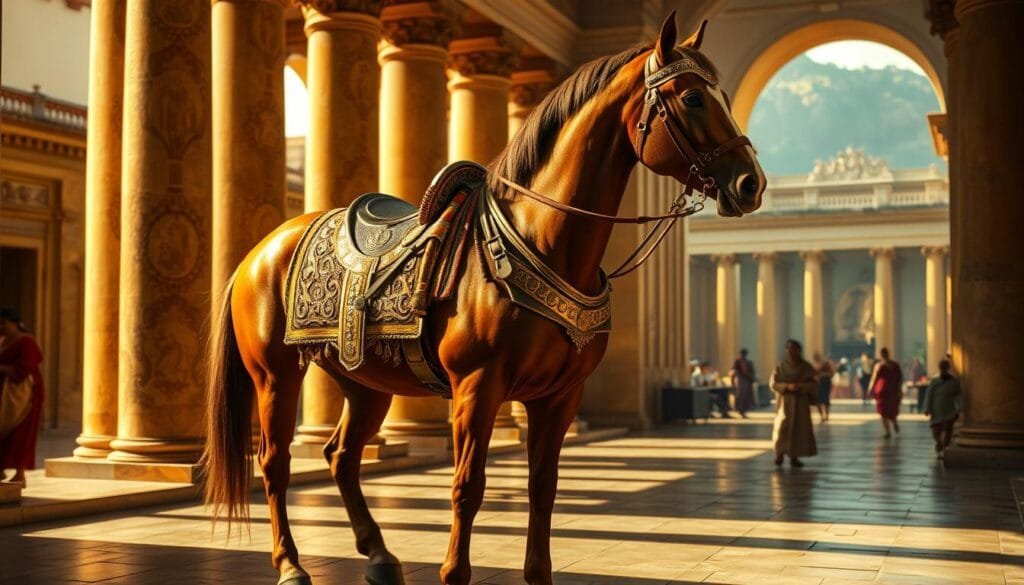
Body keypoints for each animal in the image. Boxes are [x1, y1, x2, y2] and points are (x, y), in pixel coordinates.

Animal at [203, 12, 765, 585]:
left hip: (366, 381)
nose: (751, 183)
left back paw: (379, 554)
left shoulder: (560, 395)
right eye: (691, 97)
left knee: (341, 455)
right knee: (274, 462)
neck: (540, 239)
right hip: (275, 374)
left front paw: (537, 572)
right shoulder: (477, 386)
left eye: (721, 95)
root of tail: (258, 252)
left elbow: (543, 487)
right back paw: (291, 563)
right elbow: (467, 487)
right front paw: (454, 570)